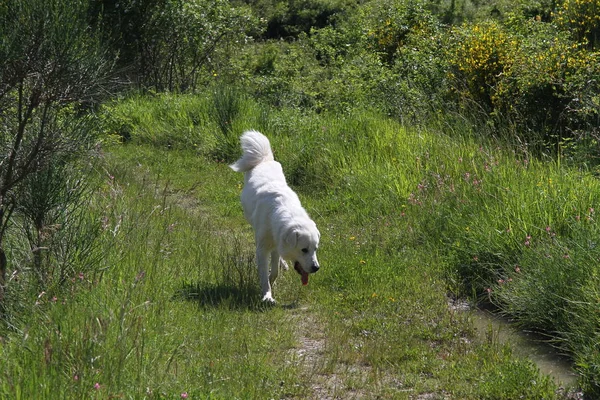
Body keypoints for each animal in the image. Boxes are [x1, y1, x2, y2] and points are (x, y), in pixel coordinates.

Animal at [231, 131, 322, 304]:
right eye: (304, 249)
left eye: (315, 249)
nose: (316, 268)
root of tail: (264, 159)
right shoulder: (263, 249)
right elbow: (263, 274)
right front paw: (267, 295)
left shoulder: (276, 243)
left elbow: (274, 272)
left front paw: (272, 282)